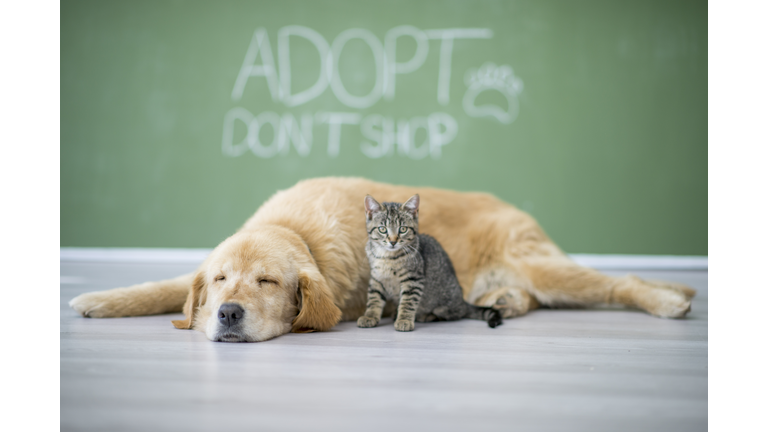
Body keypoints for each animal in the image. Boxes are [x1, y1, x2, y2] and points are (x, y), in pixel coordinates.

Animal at [356, 194, 500, 332]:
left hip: (445, 305)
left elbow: (407, 302)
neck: (387, 257)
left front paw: (404, 320)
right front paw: (370, 316)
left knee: (452, 315)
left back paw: (425, 316)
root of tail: (462, 302)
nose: (392, 241)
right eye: (382, 229)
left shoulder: (414, 279)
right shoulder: (376, 278)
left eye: (403, 229)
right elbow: (374, 298)